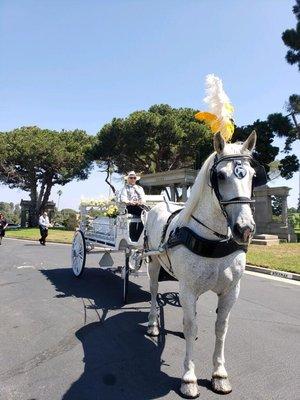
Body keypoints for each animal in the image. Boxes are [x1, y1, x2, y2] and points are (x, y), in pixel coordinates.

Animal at [144, 130, 262, 396]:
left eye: (252, 175)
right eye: (220, 175)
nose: (245, 229)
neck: (213, 239)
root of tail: (160, 204)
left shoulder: (231, 291)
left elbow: (220, 327)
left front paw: (219, 373)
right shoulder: (187, 288)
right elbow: (191, 326)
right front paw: (189, 377)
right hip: (153, 263)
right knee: (154, 293)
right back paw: (153, 324)